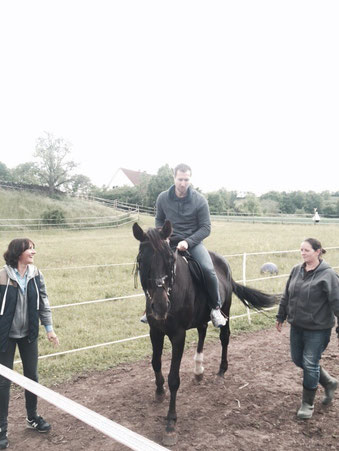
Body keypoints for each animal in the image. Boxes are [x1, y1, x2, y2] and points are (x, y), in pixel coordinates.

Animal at [133, 221, 276, 446]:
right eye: (141, 259)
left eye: (170, 259)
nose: (161, 306)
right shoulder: (155, 331)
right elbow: (155, 363)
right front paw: (159, 391)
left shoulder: (178, 335)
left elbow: (174, 378)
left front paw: (171, 424)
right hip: (200, 317)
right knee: (202, 331)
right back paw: (199, 371)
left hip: (225, 308)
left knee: (224, 338)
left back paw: (221, 372)